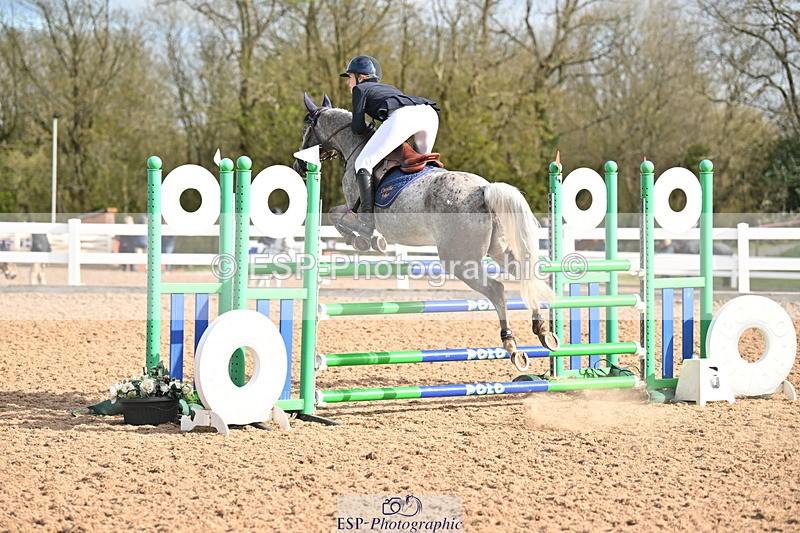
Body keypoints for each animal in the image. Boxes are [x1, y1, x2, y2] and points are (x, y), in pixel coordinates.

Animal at [296, 93, 560, 371]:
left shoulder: (352, 205)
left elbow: (339, 217)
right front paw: (364, 240)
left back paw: (511, 345)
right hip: (499, 250)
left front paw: (366, 240)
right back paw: (543, 331)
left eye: (305, 129)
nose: (299, 165)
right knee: (524, 275)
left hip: (459, 260)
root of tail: (484, 190)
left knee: (497, 289)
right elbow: (338, 218)